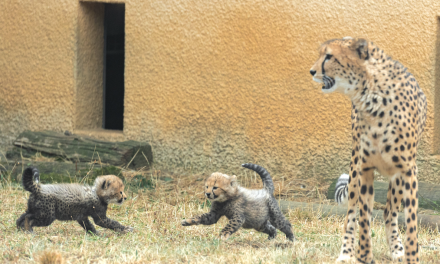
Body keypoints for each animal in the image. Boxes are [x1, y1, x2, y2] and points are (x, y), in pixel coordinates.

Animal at [310, 37, 426, 264]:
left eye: (329, 56)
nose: (312, 71)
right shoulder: (364, 168)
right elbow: (362, 216)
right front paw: (363, 254)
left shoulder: (408, 170)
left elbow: (411, 220)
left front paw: (410, 254)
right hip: (355, 171)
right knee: (351, 215)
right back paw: (346, 253)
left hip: (396, 179)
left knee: (389, 212)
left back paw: (397, 249)